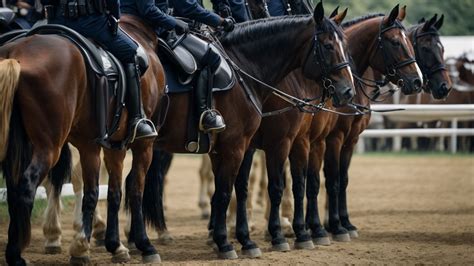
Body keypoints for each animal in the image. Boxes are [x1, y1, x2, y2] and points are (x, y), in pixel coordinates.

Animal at [0, 16, 166, 264]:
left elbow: (105, 191)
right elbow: (134, 188)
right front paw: (144, 245)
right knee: (27, 185)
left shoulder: (101, 145)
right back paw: (17, 255)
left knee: (13, 189)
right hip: (49, 146)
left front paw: (108, 245)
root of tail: (15, 53)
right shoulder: (142, 146)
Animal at [141, 2, 356, 260]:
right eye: (328, 46)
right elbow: (270, 187)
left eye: (346, 46)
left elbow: (239, 189)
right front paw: (277, 235)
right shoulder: (273, 142)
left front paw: (241, 237)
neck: (245, 69)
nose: (348, 91)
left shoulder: (237, 146)